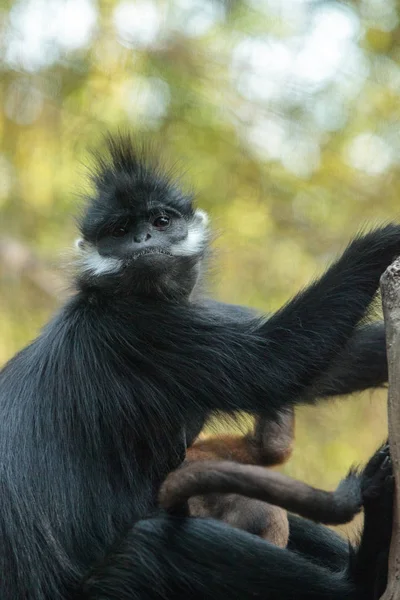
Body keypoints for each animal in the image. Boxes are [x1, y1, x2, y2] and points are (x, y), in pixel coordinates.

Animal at [0, 134, 396, 596]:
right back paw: (364, 572)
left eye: (161, 220)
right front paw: (386, 240)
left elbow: (333, 366)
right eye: (119, 231)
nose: (142, 238)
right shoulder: (133, 331)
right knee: (154, 540)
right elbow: (273, 364)